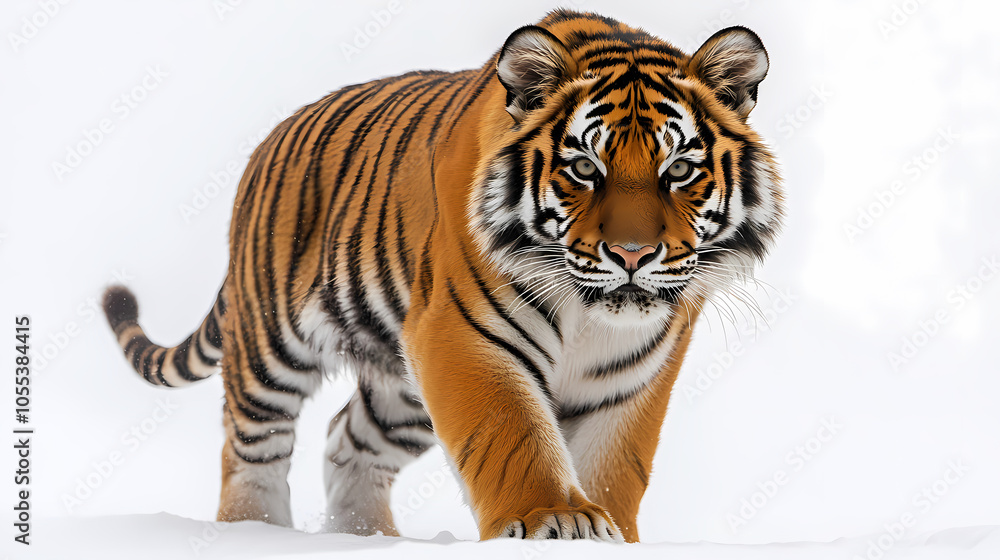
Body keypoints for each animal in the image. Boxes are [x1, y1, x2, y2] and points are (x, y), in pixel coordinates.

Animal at [102, 9, 783, 543]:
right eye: (585, 168)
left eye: (680, 170)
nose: (632, 254)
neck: (590, 318)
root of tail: (269, 140)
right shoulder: (464, 334)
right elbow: (512, 435)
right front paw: (554, 521)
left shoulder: (635, 372)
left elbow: (616, 465)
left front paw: (610, 532)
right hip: (270, 345)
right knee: (251, 448)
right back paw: (253, 534)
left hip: (401, 390)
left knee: (349, 442)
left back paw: (367, 538)